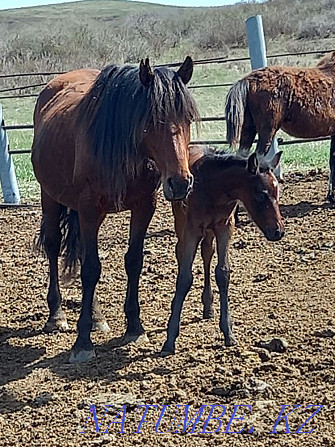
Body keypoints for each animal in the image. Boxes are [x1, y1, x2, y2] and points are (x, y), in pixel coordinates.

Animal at [31, 57, 200, 364]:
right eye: (150, 121)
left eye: (188, 119)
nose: (180, 183)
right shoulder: (88, 208)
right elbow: (90, 269)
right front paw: (82, 343)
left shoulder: (144, 206)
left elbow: (133, 261)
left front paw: (135, 327)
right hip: (50, 197)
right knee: (52, 245)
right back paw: (56, 315)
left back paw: (97, 317)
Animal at [161, 147, 284, 356]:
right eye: (261, 195)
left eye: (277, 193)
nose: (278, 232)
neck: (213, 188)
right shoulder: (192, 229)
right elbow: (185, 278)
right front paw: (170, 339)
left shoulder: (225, 226)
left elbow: (222, 273)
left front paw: (228, 332)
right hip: (181, 222)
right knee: (181, 251)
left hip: (210, 231)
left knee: (207, 253)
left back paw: (208, 306)